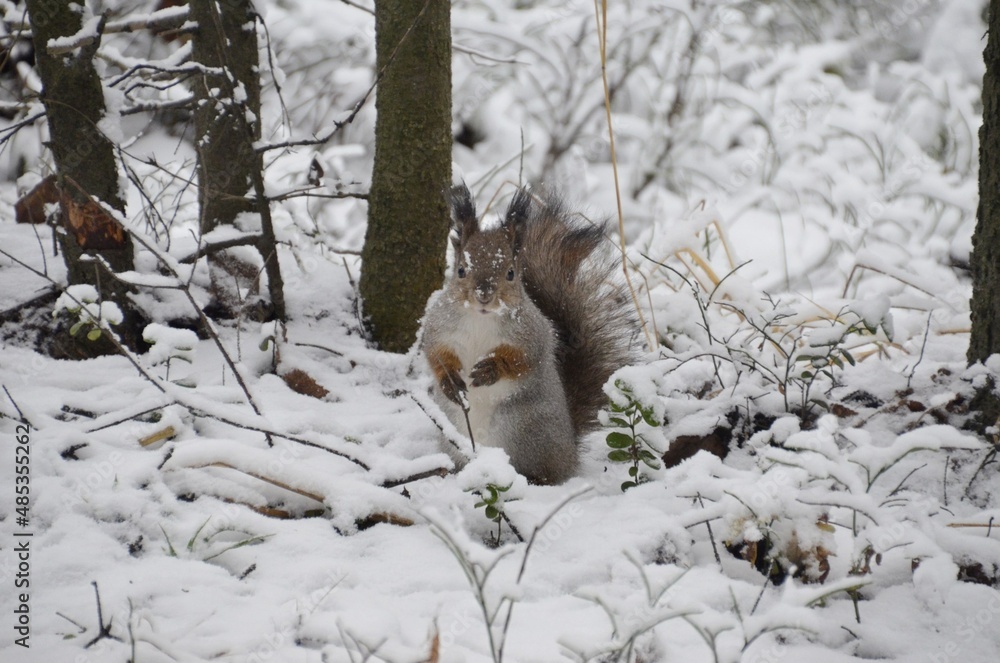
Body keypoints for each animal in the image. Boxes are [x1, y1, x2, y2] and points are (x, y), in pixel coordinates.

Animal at [421, 184, 637, 484]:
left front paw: (491, 369)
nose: (484, 295)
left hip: (525, 429)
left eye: (511, 273)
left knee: (545, 472)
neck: (480, 319)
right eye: (461, 270)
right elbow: (436, 355)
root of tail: (570, 450)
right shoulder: (437, 328)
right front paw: (450, 382)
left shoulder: (533, 335)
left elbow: (523, 360)